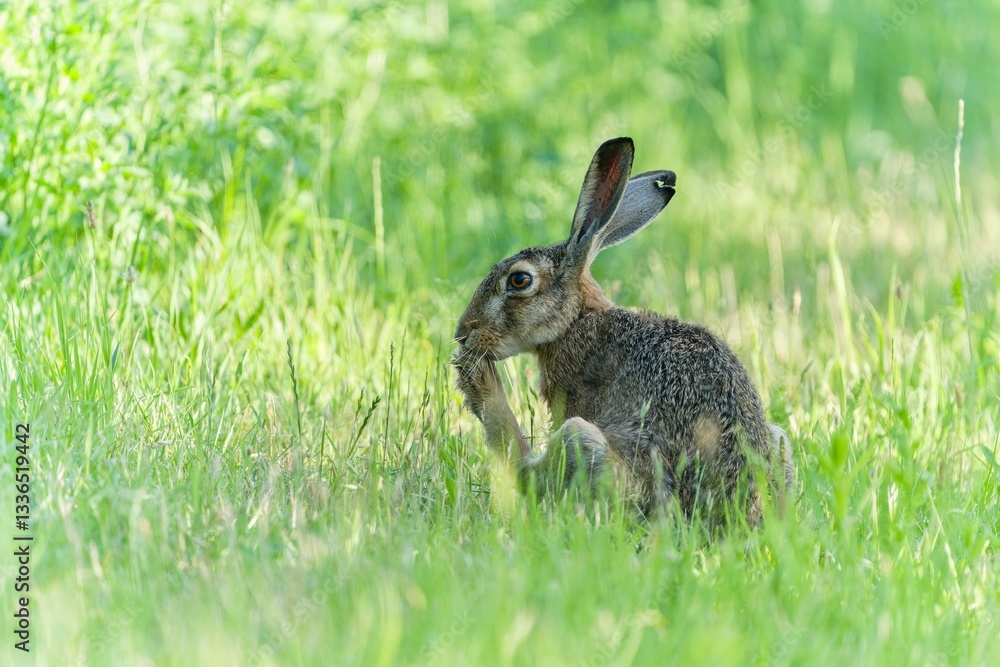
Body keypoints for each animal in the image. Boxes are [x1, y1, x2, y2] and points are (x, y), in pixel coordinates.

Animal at [452, 137, 794, 526]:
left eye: (519, 280)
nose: (463, 332)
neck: (576, 320)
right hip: (777, 440)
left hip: (584, 447)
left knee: (531, 474)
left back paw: (480, 384)